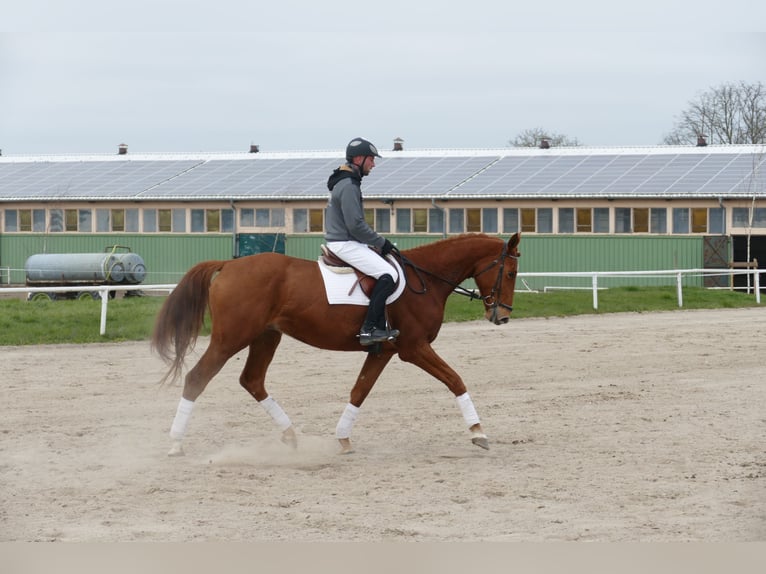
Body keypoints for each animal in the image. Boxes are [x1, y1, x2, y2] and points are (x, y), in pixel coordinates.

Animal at [152, 232, 521, 456]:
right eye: (511, 272)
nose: (502, 316)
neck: (426, 280)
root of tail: (229, 264)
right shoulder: (413, 348)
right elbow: (455, 379)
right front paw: (478, 431)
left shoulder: (385, 351)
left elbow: (359, 391)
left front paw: (343, 439)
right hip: (231, 338)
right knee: (197, 378)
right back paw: (176, 443)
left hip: (266, 335)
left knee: (252, 380)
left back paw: (290, 435)